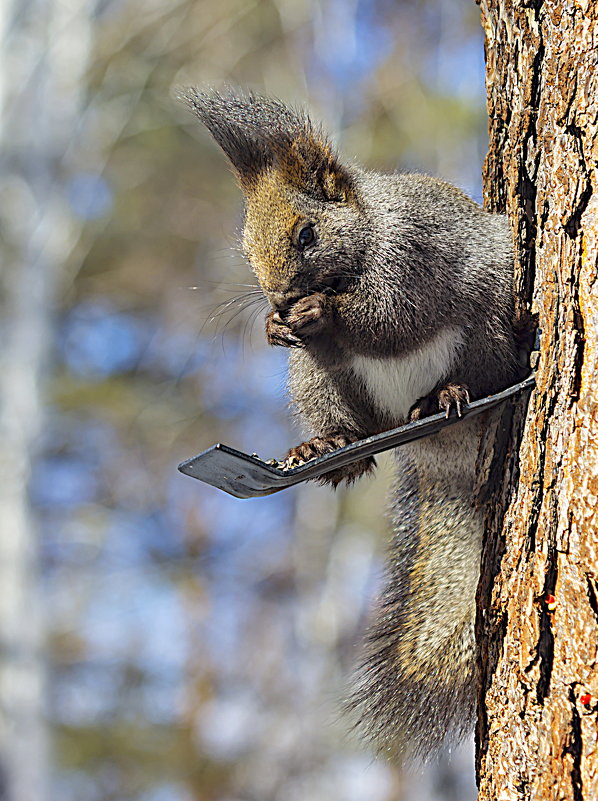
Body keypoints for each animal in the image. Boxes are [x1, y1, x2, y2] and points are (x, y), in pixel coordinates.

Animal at [180, 90, 524, 760]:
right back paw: (328, 445)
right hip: (317, 385)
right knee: (355, 440)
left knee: (478, 373)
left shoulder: (415, 254)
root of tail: (439, 452)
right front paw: (274, 328)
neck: (365, 236)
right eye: (245, 247)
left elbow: (388, 315)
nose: (279, 299)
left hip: (490, 324)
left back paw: (449, 395)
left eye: (308, 233)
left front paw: (320, 312)